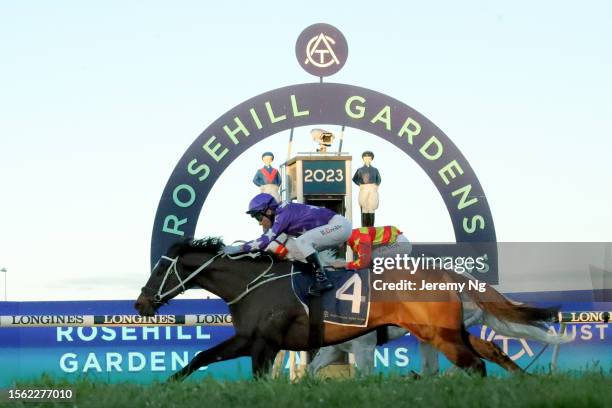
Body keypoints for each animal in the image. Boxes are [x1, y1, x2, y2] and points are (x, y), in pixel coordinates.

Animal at [135, 237, 560, 380]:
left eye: (160, 270)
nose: (140, 304)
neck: (253, 284)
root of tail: (450, 275)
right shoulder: (249, 339)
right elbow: (200, 357)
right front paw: (167, 386)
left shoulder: (265, 343)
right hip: (446, 332)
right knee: (486, 352)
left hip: (441, 334)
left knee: (475, 364)